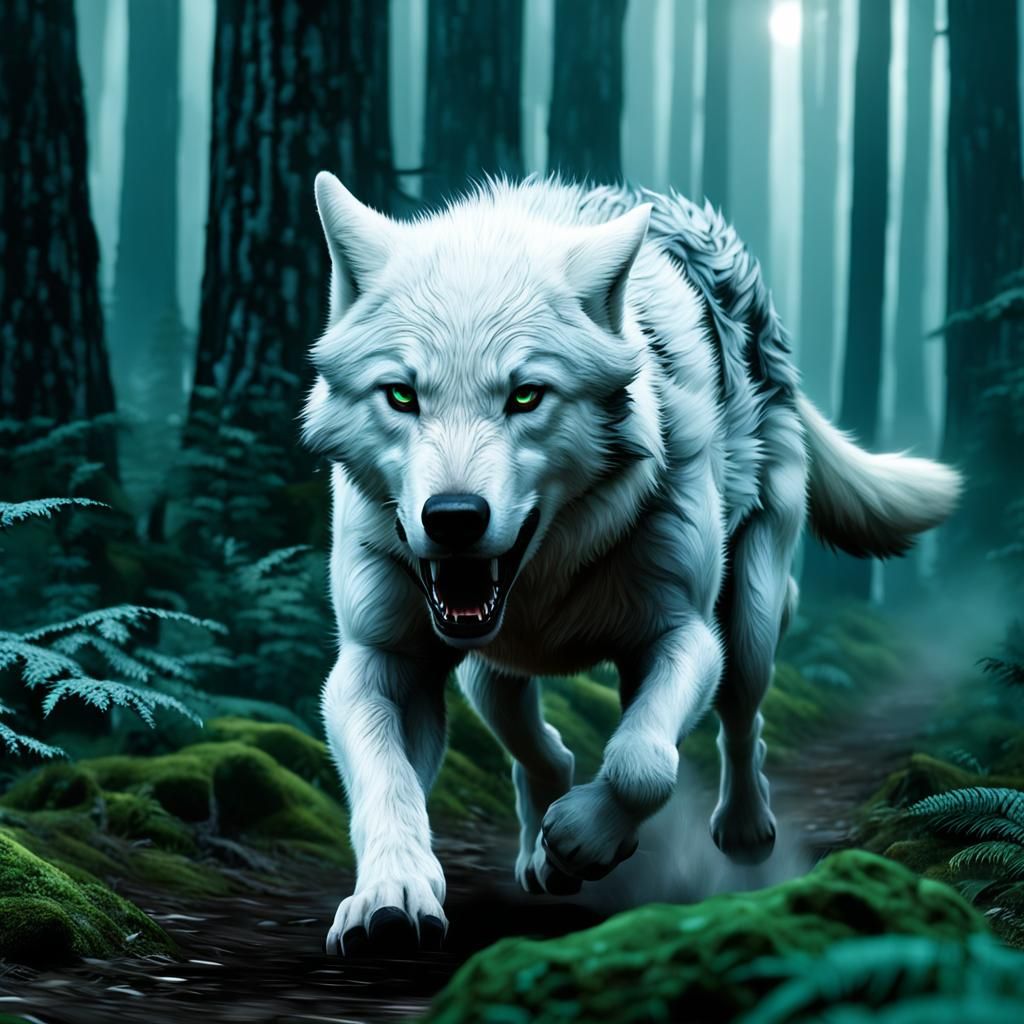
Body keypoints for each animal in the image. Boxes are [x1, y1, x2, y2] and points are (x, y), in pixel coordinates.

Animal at [302, 173, 961, 955]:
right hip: (489, 670)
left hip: (749, 624)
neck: (544, 578)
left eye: (526, 395)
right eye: (401, 395)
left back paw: (742, 831)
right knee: (536, 742)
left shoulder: (683, 635)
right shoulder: (380, 660)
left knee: (742, 721)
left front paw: (584, 837)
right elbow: (388, 781)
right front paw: (392, 895)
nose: (454, 517)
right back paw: (539, 850)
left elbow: (643, 765)